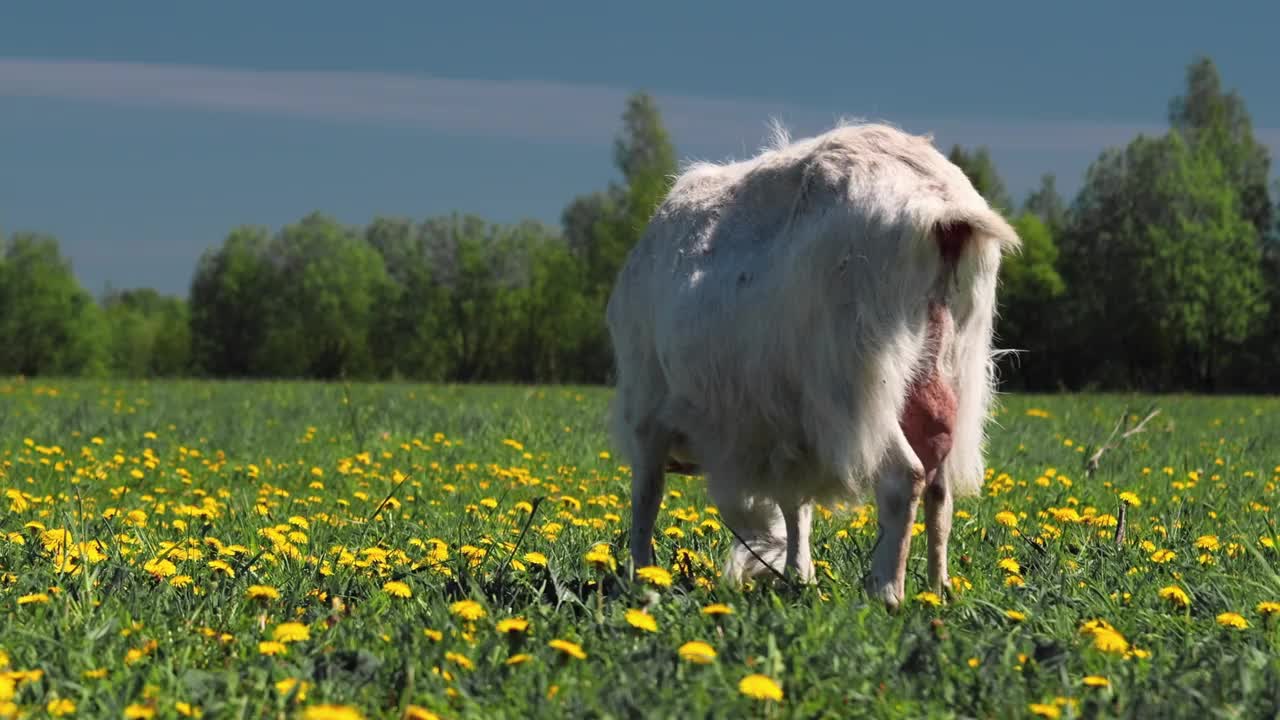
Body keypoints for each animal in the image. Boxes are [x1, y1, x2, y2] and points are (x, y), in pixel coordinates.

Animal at [606, 119, 1018, 604]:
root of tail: (938, 204)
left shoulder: (647, 412)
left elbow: (645, 499)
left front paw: (641, 578)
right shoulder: (789, 429)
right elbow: (795, 506)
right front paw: (799, 575)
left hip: (858, 384)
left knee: (904, 477)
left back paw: (886, 592)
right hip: (951, 365)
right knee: (939, 488)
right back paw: (939, 588)